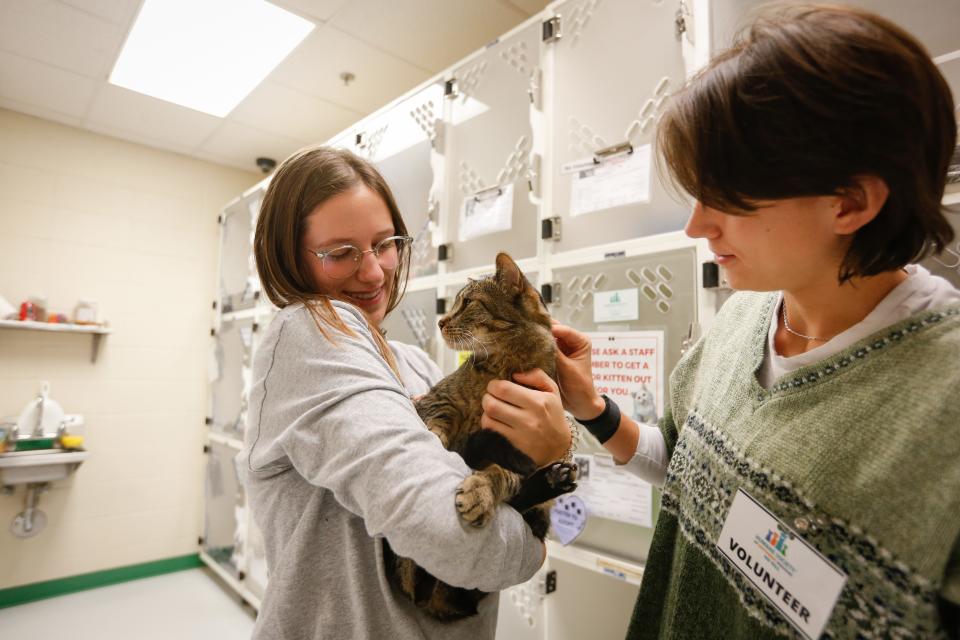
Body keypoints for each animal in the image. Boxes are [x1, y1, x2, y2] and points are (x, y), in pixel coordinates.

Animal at [382, 251, 576, 620]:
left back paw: (554, 479)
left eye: (468, 303)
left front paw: (481, 491)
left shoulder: (520, 449)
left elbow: (500, 474)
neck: (504, 364)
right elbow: (436, 428)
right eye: (455, 302)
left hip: (540, 513)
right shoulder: (438, 402)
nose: (441, 321)